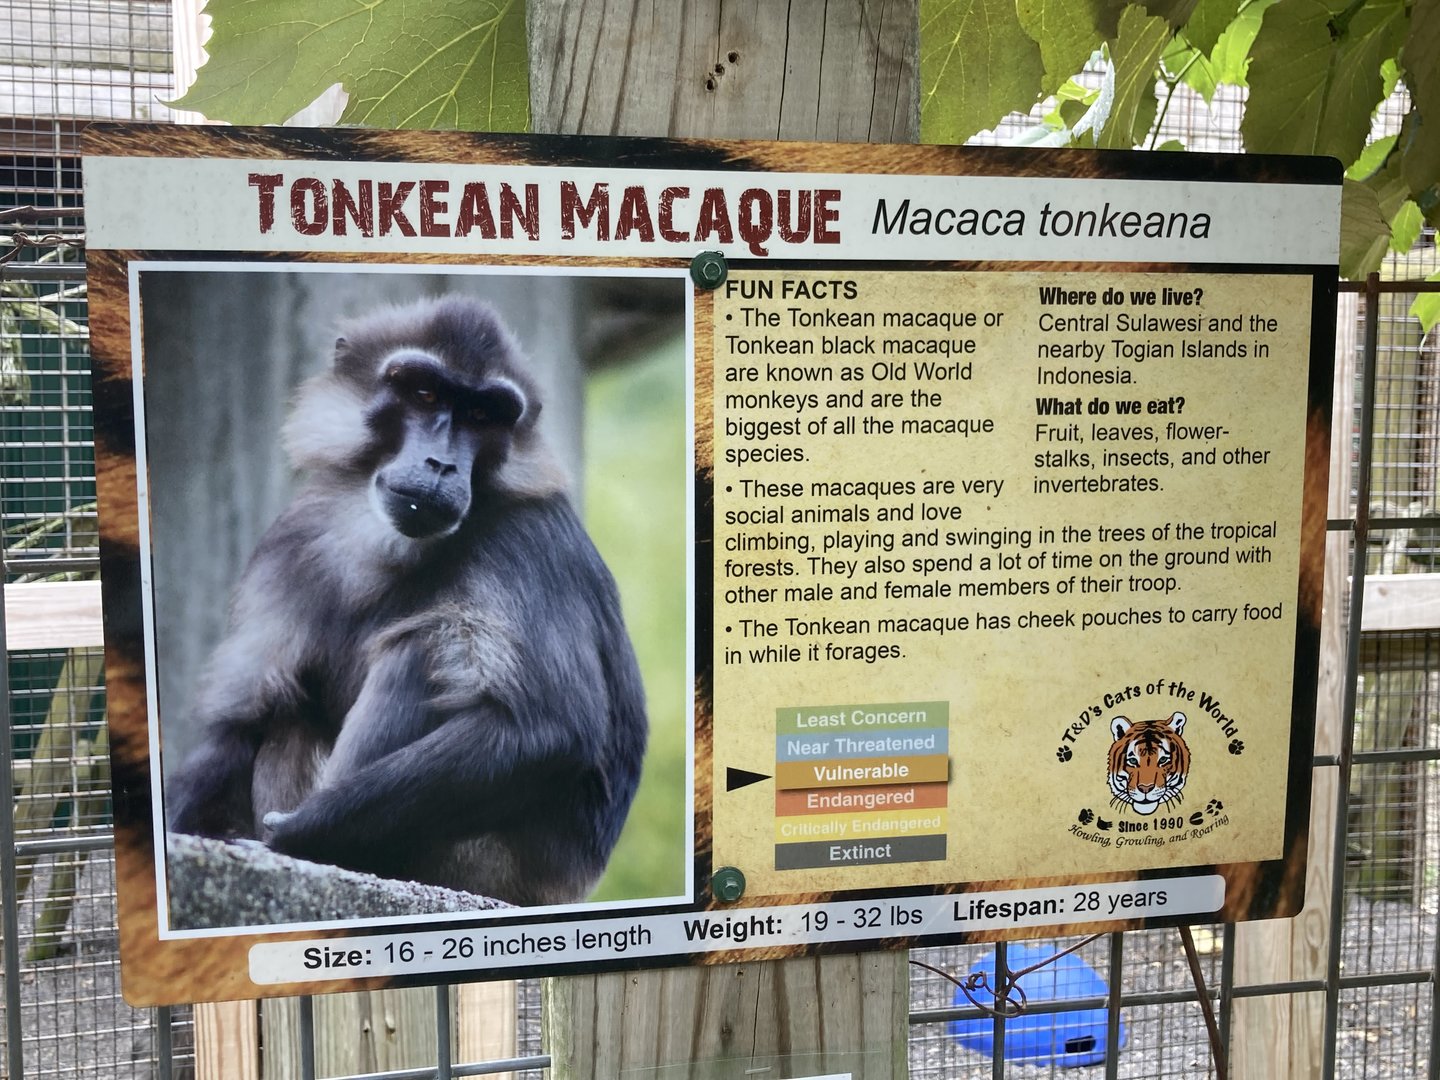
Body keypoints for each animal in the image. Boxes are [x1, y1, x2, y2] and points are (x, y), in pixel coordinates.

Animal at [164, 295, 647, 908]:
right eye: (425, 395)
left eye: (482, 415)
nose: (441, 464)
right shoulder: (295, 539)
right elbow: (241, 721)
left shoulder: (528, 539)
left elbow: (551, 729)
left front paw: (287, 840)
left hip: (480, 865)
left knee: (424, 649)